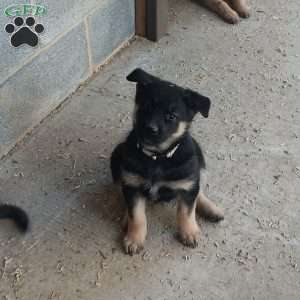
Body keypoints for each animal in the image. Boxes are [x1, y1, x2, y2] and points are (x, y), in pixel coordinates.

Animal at [111, 69, 224, 254]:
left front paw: (189, 232)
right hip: (116, 159)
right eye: (146, 107)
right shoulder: (132, 184)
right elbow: (137, 215)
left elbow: (186, 211)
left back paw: (211, 210)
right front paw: (134, 238)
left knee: (198, 191)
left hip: (198, 162)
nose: (150, 129)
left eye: (171, 116)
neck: (157, 157)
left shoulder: (187, 183)